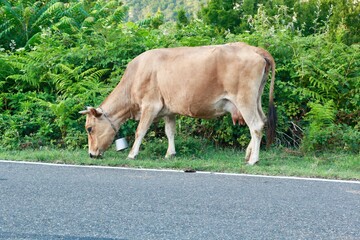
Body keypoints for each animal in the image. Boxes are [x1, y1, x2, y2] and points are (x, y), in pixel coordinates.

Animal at [79, 42, 276, 165]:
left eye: (89, 128)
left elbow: (140, 131)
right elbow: (170, 132)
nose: (91, 154)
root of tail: (254, 49)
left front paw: (132, 154)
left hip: (244, 99)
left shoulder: (150, 105)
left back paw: (253, 160)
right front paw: (170, 154)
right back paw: (248, 155)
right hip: (256, 100)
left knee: (255, 125)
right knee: (262, 121)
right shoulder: (168, 109)